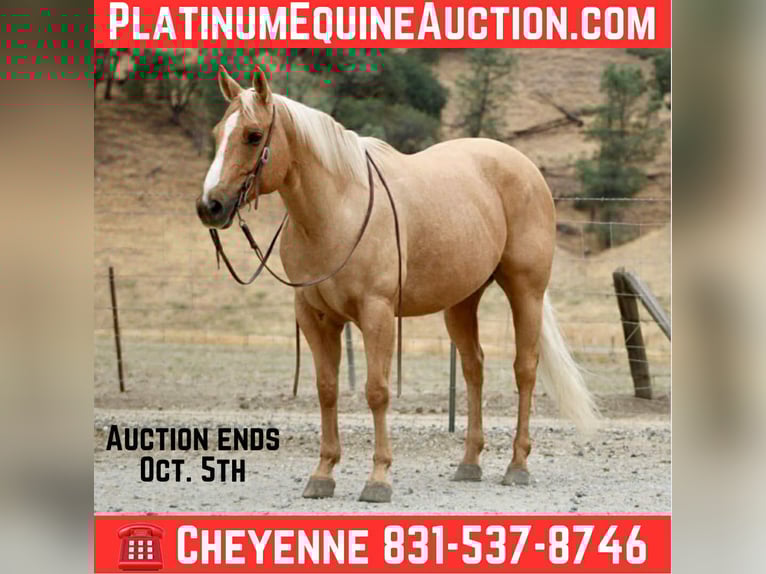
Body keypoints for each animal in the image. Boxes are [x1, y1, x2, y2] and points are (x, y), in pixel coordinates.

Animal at [196, 65, 599, 503]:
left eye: (253, 135)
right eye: (217, 133)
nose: (209, 206)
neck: (336, 212)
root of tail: (525, 167)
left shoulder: (377, 314)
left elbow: (377, 391)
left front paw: (378, 479)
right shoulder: (315, 316)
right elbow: (327, 388)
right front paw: (323, 473)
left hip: (525, 290)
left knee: (524, 369)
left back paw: (517, 465)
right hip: (462, 302)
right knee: (473, 369)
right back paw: (469, 463)